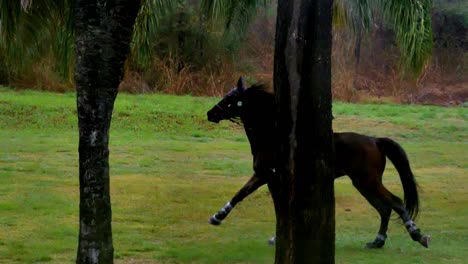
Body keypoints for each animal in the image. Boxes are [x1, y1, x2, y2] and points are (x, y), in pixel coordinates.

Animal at [207, 76, 430, 248]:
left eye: (230, 98)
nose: (210, 113)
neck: (273, 138)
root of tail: (375, 140)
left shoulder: (269, 177)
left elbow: (274, 206)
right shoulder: (263, 175)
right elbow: (240, 195)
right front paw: (217, 217)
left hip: (369, 181)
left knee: (396, 202)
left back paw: (417, 235)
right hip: (361, 183)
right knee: (384, 208)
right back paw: (377, 241)